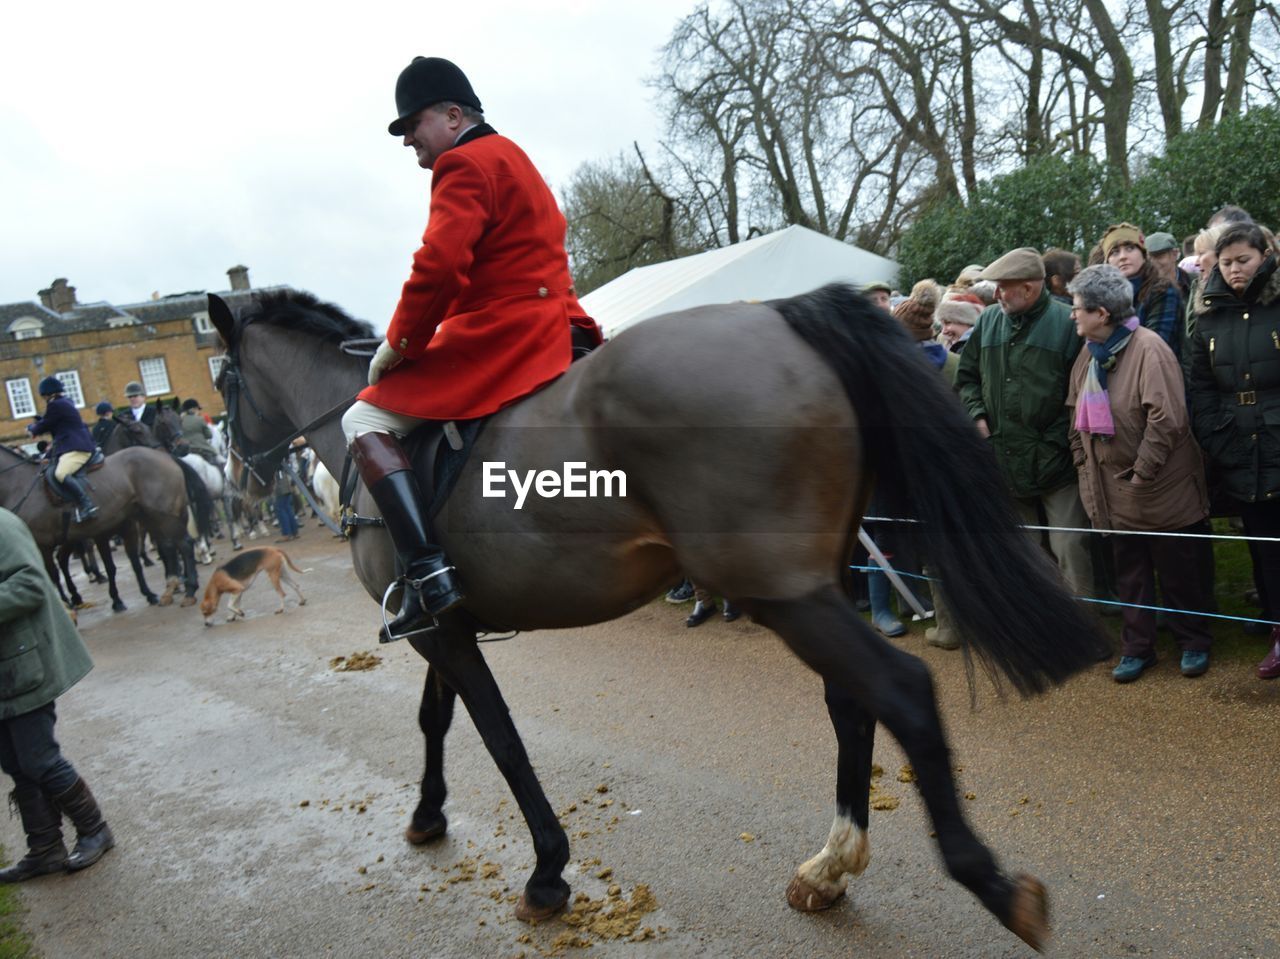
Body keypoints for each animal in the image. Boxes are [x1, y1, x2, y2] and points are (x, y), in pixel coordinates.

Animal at [209, 286, 1111, 952]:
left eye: (222, 386)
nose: (242, 481)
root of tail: (780, 312)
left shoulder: (441, 630)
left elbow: (499, 737)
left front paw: (546, 871)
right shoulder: (441, 625)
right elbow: (437, 719)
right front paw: (428, 816)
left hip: (781, 591)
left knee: (903, 690)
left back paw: (989, 882)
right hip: (808, 587)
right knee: (854, 703)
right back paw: (829, 866)